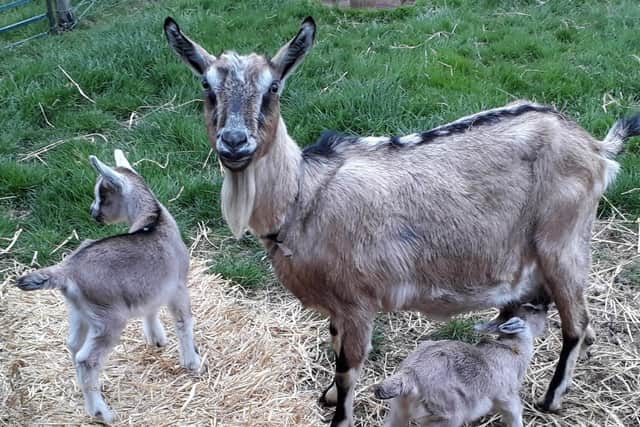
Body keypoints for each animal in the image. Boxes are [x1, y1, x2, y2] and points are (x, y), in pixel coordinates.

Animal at [15, 150, 201, 423]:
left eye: (102, 195)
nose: (93, 213)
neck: (154, 218)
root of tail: (66, 271)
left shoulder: (152, 286)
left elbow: (150, 309)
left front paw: (156, 339)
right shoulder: (178, 287)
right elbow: (183, 322)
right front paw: (193, 362)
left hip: (80, 312)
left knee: (74, 345)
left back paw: (91, 389)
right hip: (109, 319)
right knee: (86, 359)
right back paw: (100, 411)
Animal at [373, 303, 548, 427]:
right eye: (533, 310)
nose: (546, 308)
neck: (512, 350)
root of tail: (410, 374)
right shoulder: (506, 396)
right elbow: (515, 415)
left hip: (399, 410)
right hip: (446, 418)